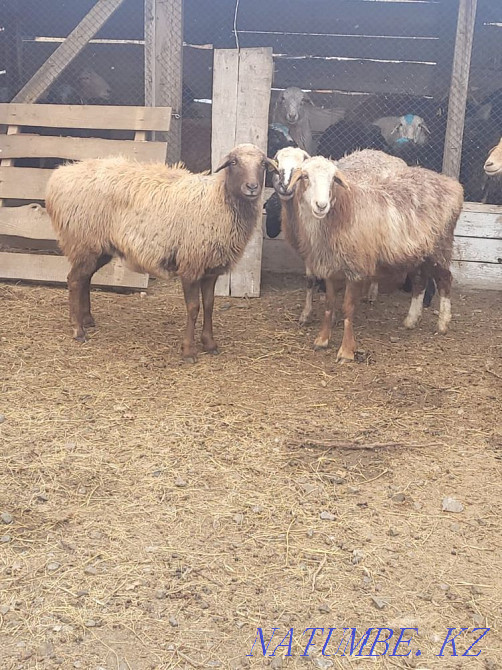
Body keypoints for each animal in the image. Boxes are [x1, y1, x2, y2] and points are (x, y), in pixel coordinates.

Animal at [46, 143, 278, 362]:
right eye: (234, 162)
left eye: (263, 164)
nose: (252, 187)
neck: (217, 201)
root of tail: (59, 177)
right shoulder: (191, 265)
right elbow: (193, 308)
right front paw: (188, 351)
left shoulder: (210, 268)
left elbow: (209, 305)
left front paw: (209, 344)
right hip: (83, 241)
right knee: (75, 280)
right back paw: (78, 329)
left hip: (98, 246)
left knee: (85, 279)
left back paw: (87, 320)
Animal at [288, 155, 463, 362]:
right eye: (305, 177)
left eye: (333, 179)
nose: (321, 205)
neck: (343, 212)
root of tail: (451, 184)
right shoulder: (330, 267)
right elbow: (329, 304)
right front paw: (322, 340)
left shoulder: (355, 268)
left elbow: (348, 308)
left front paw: (346, 351)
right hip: (419, 251)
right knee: (420, 281)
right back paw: (411, 320)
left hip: (440, 246)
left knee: (445, 279)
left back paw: (443, 323)